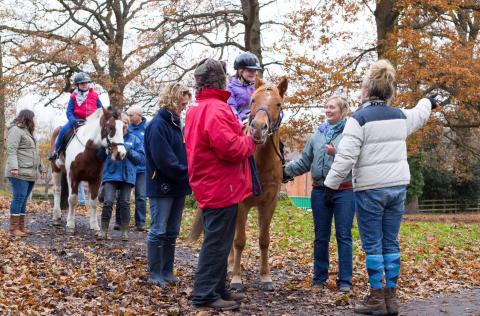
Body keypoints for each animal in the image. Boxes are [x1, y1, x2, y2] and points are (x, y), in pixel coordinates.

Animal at [189, 76, 286, 292]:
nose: (258, 128)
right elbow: (239, 241)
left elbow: (264, 240)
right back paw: (230, 265)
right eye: (253, 100)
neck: (260, 164)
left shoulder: (270, 204)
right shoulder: (241, 205)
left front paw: (266, 277)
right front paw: (236, 278)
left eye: (278, 104)